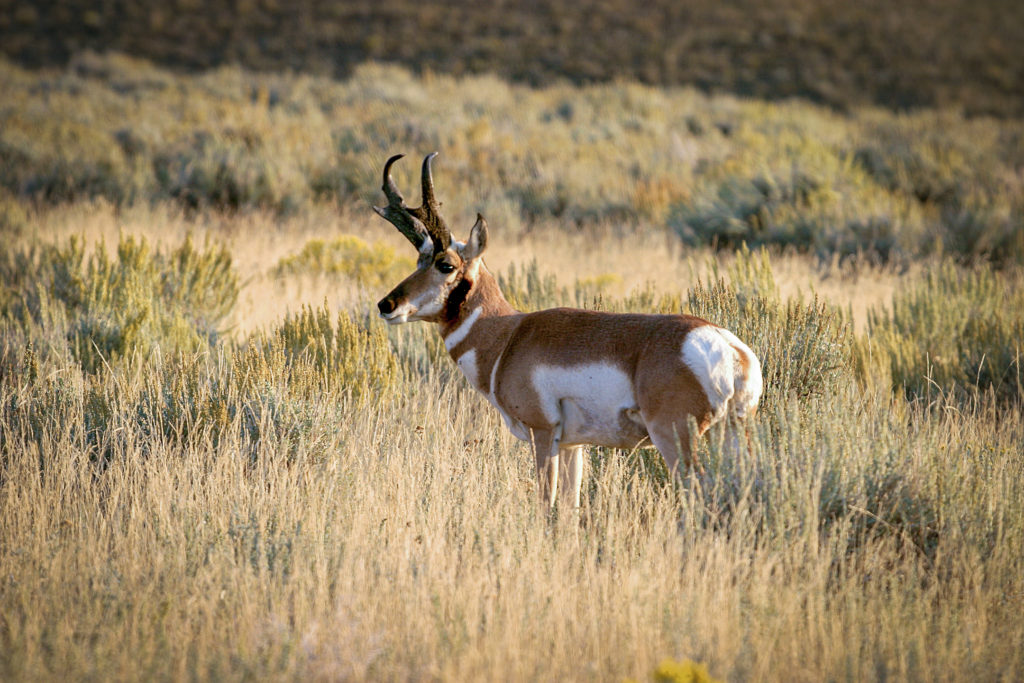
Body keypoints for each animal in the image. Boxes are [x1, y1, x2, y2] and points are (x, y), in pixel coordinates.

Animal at [374, 153, 761, 507]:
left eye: (446, 264)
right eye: (419, 260)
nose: (386, 305)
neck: (508, 336)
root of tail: (729, 349)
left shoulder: (543, 433)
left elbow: (546, 505)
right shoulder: (574, 445)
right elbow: (570, 508)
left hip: (675, 437)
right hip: (732, 434)